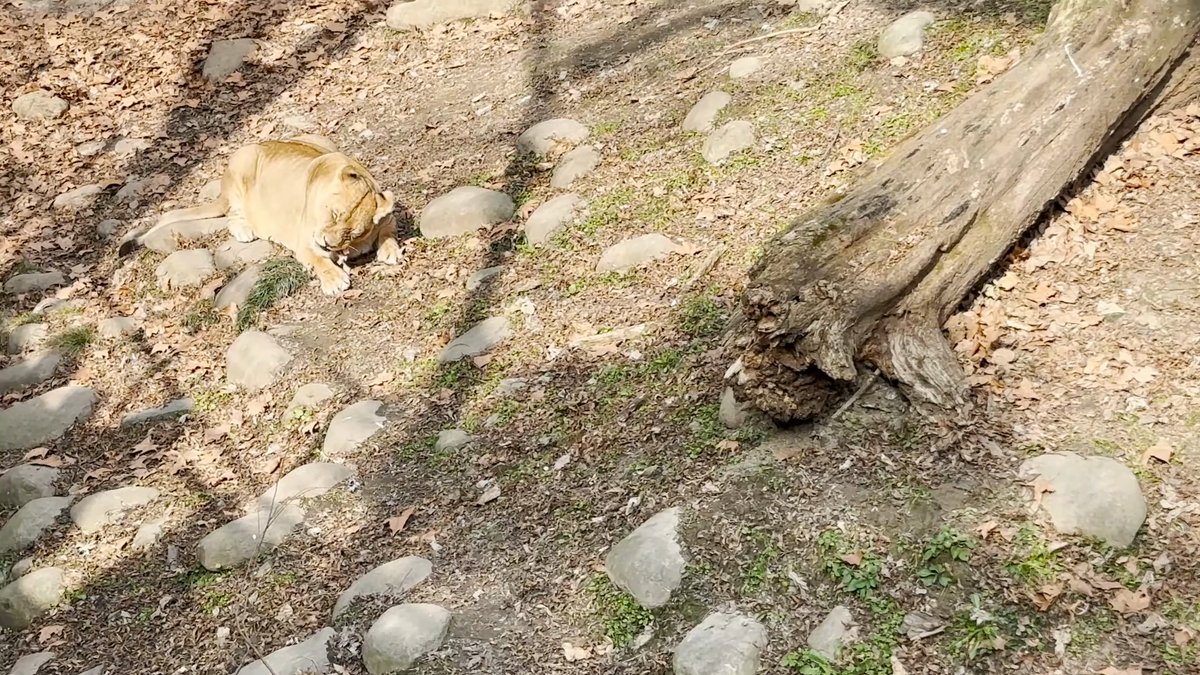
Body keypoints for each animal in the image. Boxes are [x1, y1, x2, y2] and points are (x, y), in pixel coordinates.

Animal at [120, 134, 403, 295]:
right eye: (333, 214)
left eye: (351, 232)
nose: (326, 243)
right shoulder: (304, 243)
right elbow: (318, 261)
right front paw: (334, 281)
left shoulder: (388, 212)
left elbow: (389, 230)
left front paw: (391, 251)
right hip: (243, 163)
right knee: (231, 214)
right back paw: (245, 230)